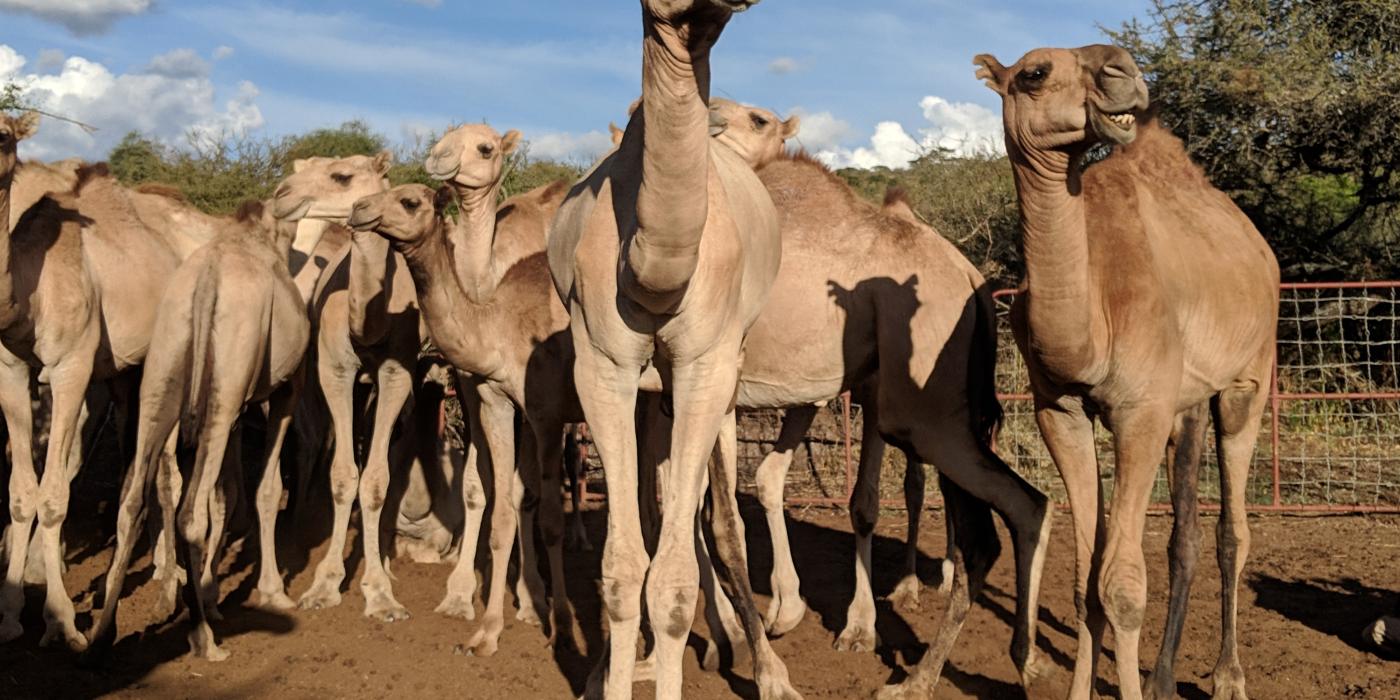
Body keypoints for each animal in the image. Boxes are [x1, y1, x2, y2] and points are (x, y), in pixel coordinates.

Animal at [86, 198, 309, 660]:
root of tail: (207, 281)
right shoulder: (284, 390)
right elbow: (264, 488)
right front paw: (274, 593)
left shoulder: (239, 408)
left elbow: (227, 493)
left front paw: (209, 593)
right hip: (226, 382)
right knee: (190, 512)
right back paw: (203, 638)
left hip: (165, 372)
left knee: (132, 500)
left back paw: (101, 637)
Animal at [355, 127, 585, 660]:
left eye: (410, 200)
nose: (359, 209)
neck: (496, 321)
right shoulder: (499, 400)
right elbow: (503, 510)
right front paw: (487, 631)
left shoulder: (545, 413)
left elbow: (548, 517)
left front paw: (561, 624)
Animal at [540, 2, 800, 697]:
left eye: (760, 118)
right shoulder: (603, 368)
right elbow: (624, 569)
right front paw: (612, 673)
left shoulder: (707, 368)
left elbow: (679, 574)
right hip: (647, 396)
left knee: (715, 523)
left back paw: (758, 663)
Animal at [705, 100, 1052, 694]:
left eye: (757, 119)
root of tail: (974, 282)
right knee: (1019, 507)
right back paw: (1023, 658)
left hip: (923, 414)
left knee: (1005, 513)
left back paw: (925, 674)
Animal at [974, 45, 1282, 700]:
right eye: (1034, 73)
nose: (1124, 71)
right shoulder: (1059, 410)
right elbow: (1084, 580)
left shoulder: (1139, 412)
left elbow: (1120, 586)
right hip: (1186, 403)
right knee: (1186, 536)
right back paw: (1166, 677)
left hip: (1247, 381)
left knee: (1234, 532)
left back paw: (1228, 676)